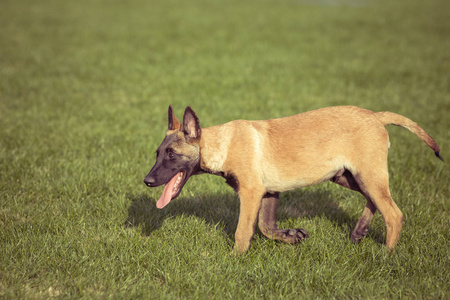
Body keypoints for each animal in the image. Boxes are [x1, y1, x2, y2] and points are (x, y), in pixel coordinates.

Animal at [145, 105, 442, 253]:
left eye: (171, 155)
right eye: (157, 153)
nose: (147, 181)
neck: (222, 143)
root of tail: (375, 116)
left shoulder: (251, 193)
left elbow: (243, 231)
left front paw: (235, 259)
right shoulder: (269, 192)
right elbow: (266, 227)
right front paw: (291, 236)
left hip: (367, 174)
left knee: (393, 214)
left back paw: (386, 255)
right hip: (348, 176)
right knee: (376, 201)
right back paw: (359, 231)